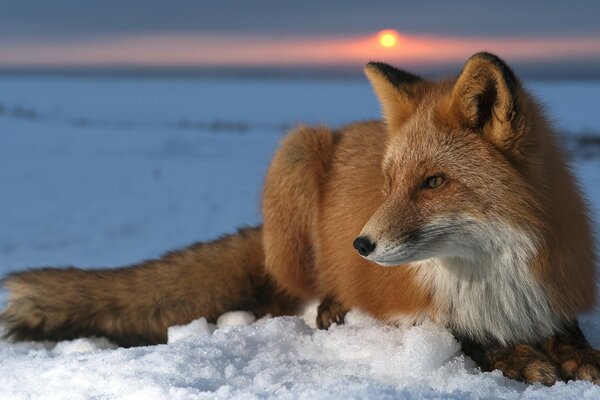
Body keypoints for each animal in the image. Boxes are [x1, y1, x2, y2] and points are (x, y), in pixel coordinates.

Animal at [1, 52, 600, 384]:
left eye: (434, 182)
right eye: (388, 183)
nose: (361, 245)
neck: (493, 276)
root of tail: (350, 127)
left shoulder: (552, 292)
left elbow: (569, 336)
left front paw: (576, 357)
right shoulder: (415, 309)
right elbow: (468, 337)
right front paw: (520, 359)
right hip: (295, 154)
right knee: (295, 292)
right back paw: (331, 305)